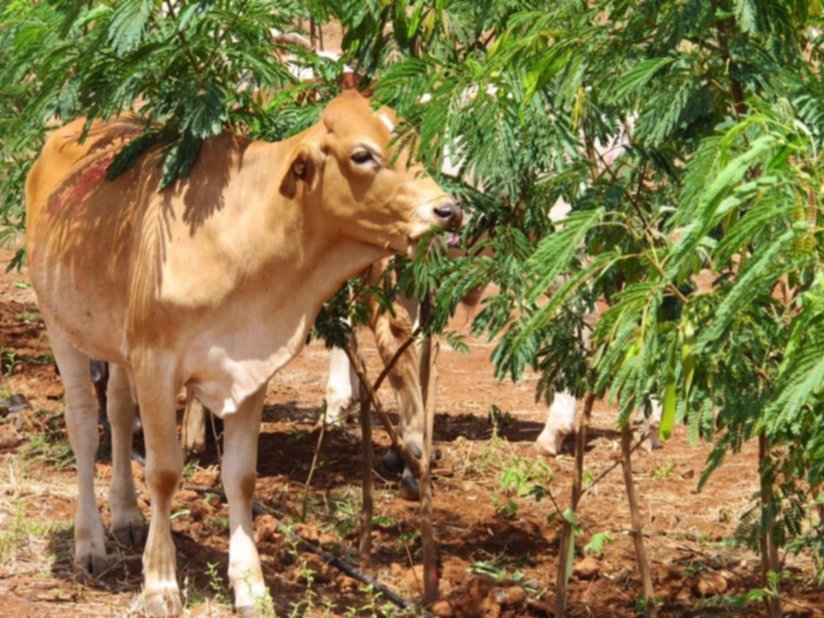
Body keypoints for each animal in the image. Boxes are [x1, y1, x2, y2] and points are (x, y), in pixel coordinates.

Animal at [25, 92, 460, 616]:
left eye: (415, 144)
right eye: (362, 155)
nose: (448, 210)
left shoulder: (251, 372)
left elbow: (241, 478)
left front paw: (251, 586)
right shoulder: (155, 364)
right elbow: (165, 473)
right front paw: (161, 583)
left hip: (117, 345)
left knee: (119, 411)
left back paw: (127, 517)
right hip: (61, 325)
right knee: (86, 428)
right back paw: (89, 542)